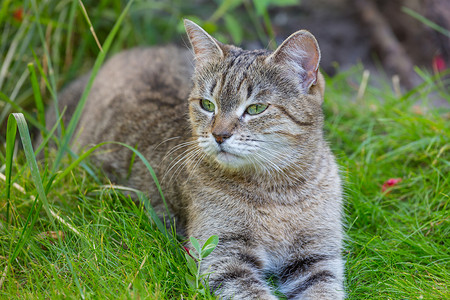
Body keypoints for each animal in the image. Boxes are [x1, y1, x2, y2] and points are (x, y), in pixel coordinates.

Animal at [53, 19, 348, 298]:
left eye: (255, 108)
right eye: (207, 105)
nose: (219, 135)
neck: (279, 191)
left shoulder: (318, 254)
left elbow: (324, 291)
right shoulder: (221, 255)